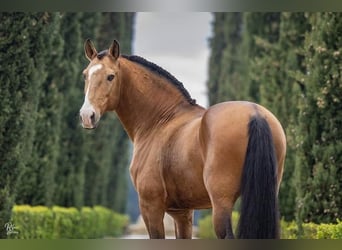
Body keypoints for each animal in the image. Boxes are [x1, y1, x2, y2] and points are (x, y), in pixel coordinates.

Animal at [79, 40, 284, 239]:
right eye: (85, 75)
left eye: (110, 76)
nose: (87, 116)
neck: (160, 120)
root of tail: (255, 114)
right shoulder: (182, 212)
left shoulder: (151, 207)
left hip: (221, 204)